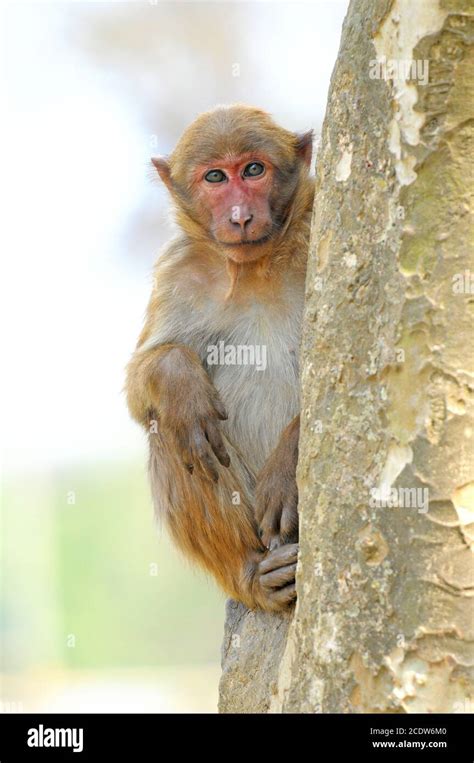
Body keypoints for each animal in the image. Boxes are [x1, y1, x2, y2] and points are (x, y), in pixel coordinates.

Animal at [127, 104, 314, 612]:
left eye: (253, 170)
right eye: (215, 177)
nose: (240, 216)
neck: (254, 266)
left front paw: (288, 465)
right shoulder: (180, 268)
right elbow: (140, 384)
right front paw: (181, 385)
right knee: (171, 430)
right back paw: (250, 574)